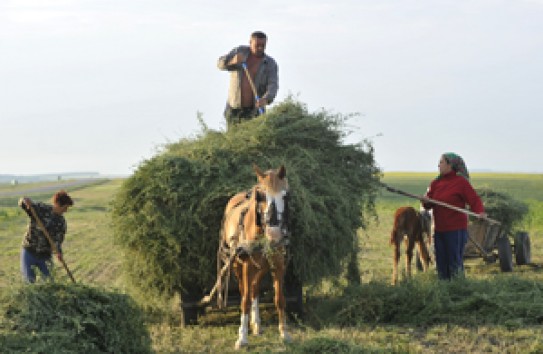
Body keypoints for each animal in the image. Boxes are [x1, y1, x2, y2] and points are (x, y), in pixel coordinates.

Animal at [220, 165, 292, 350]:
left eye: (285, 195)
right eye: (261, 196)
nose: (274, 235)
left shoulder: (278, 265)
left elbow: (280, 299)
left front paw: (284, 333)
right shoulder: (247, 266)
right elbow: (244, 301)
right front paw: (242, 338)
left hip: (261, 267)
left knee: (255, 289)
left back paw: (257, 324)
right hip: (238, 266)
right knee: (245, 291)